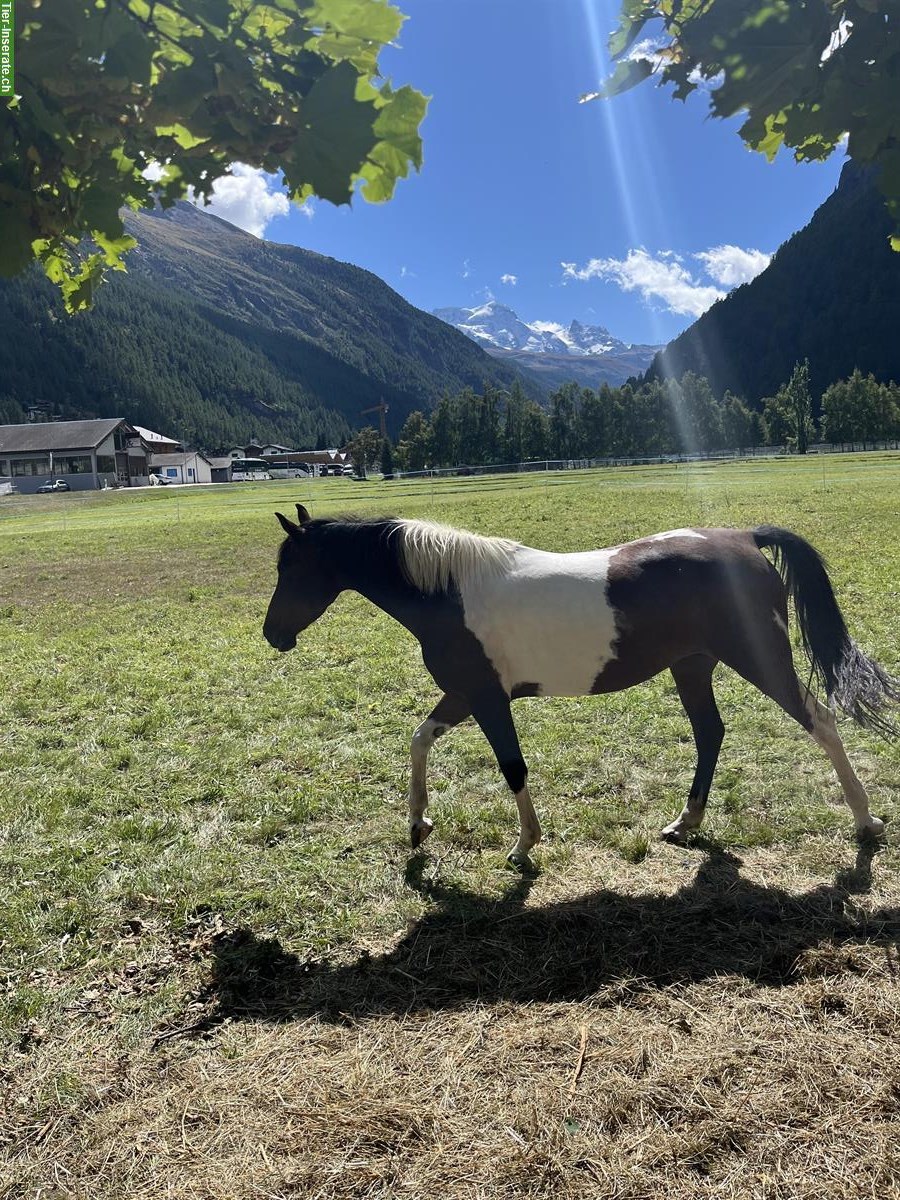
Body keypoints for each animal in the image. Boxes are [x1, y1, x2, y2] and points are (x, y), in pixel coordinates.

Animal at [264, 505, 898, 866]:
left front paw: (525, 846)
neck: (450, 591)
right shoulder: (465, 694)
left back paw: (866, 821)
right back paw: (685, 823)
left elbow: (513, 767)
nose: (273, 634)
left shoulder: (488, 699)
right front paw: (419, 825)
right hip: (693, 665)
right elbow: (419, 739)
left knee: (819, 720)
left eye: (290, 566)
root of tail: (743, 537)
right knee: (710, 732)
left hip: (758, 658)